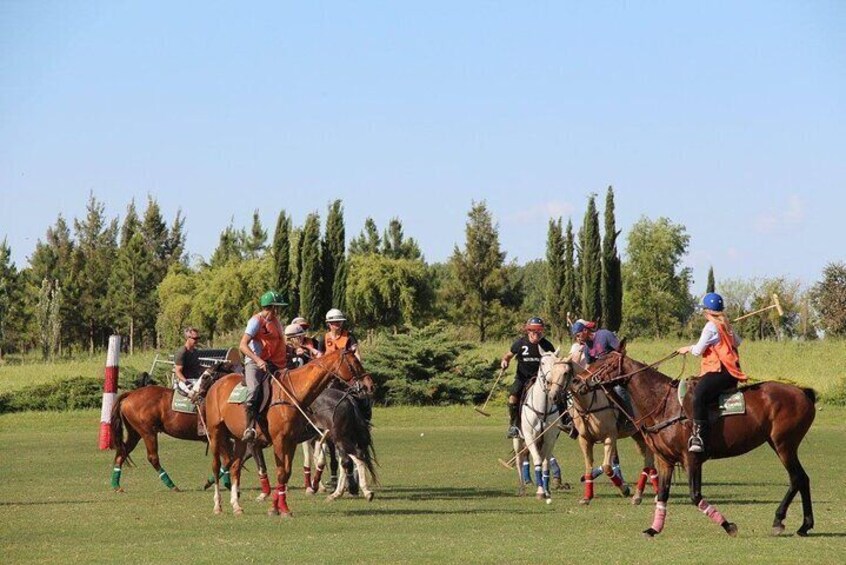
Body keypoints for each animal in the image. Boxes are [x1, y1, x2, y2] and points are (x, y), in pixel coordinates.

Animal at [108, 364, 268, 496]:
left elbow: (230, 458)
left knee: (122, 452)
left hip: (135, 433)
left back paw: (116, 485)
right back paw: (172, 485)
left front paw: (227, 483)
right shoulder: (217, 435)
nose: (194, 394)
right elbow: (229, 459)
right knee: (152, 457)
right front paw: (212, 482)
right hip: (148, 432)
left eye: (205, 376)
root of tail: (130, 394)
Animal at [205, 348, 372, 516]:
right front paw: (275, 504)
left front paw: (279, 507)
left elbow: (285, 472)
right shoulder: (276, 441)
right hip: (215, 433)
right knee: (216, 465)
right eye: (354, 363)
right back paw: (217, 505)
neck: (293, 394)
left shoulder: (289, 440)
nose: (369, 385)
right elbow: (276, 471)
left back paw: (236, 505)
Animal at [520, 350, 568, 500]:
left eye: (556, 363)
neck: (543, 407)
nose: (550, 382)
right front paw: (540, 491)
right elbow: (537, 460)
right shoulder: (530, 436)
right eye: (542, 363)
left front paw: (545, 490)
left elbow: (545, 462)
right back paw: (526, 482)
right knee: (524, 455)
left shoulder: (549, 437)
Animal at [556, 356, 664, 502]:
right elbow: (589, 467)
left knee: (649, 460)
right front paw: (587, 497)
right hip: (638, 435)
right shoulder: (584, 439)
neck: (588, 406)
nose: (554, 396)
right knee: (650, 463)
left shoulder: (610, 436)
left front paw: (624, 490)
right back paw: (647, 493)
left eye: (565, 373)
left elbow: (607, 466)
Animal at [588, 348, 820, 536]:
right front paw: (654, 529)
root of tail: (803, 392)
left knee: (797, 478)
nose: (582, 381)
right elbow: (662, 494)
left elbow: (695, 495)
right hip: (779, 443)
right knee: (802, 478)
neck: (664, 404)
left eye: (603, 362)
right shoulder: (665, 460)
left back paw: (782, 520)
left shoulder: (691, 458)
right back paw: (803, 525)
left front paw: (729, 526)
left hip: (784, 444)